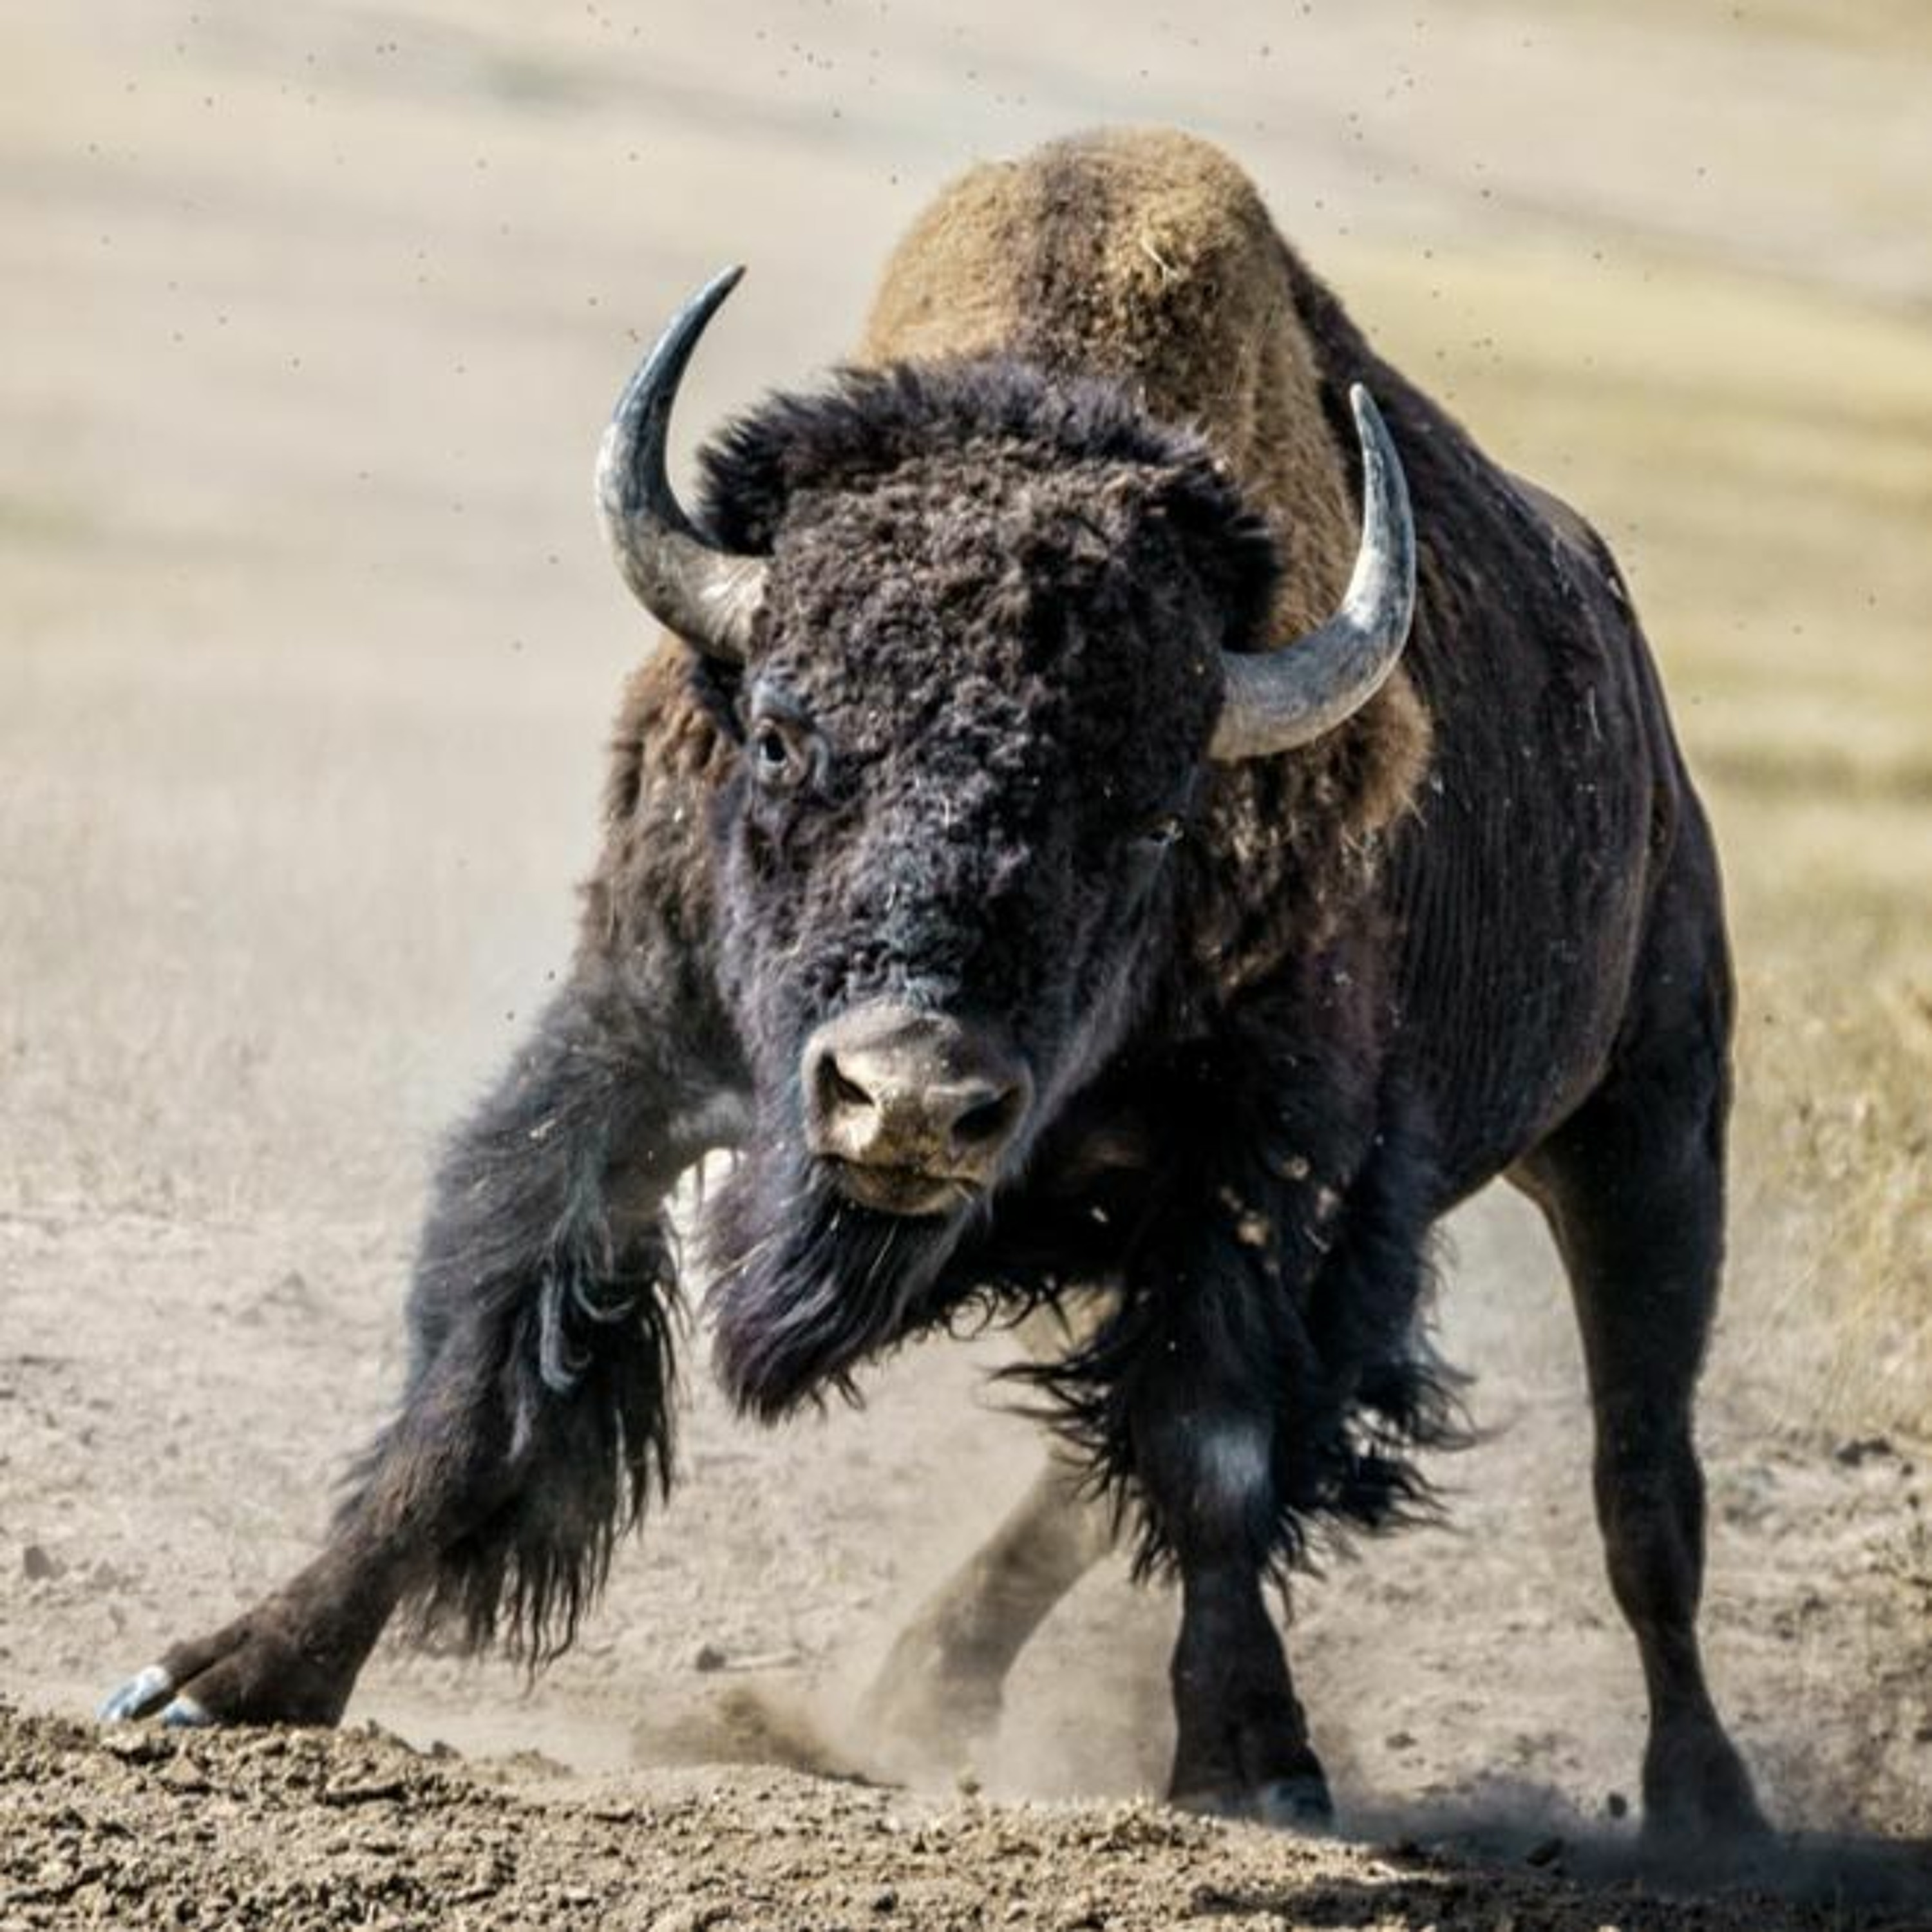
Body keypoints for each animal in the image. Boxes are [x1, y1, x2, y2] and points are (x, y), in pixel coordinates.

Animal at [103, 128, 1765, 1843]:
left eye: (1154, 813)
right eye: (779, 732)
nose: (908, 1095)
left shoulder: (1266, 1164)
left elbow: (1215, 1450)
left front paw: (1255, 1762)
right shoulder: (630, 1052)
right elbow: (479, 1375)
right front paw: (228, 1676)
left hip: (1648, 1129)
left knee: (1643, 1489)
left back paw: (1711, 1811)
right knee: (1087, 1488)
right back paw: (909, 1691)